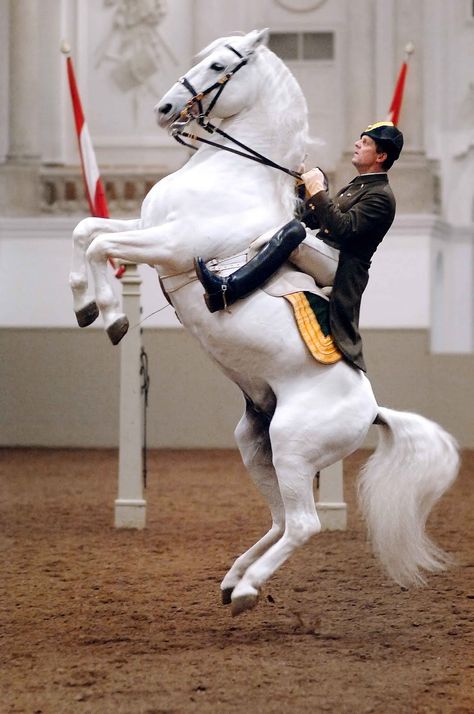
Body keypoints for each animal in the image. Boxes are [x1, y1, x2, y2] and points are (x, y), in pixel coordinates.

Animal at [70, 30, 460, 616]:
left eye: (218, 66)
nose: (165, 109)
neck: (233, 173)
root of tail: (372, 411)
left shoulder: (171, 245)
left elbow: (98, 243)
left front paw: (113, 316)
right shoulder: (146, 227)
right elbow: (86, 230)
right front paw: (86, 305)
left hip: (294, 448)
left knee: (303, 524)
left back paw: (248, 590)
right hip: (259, 446)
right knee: (279, 520)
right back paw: (233, 578)